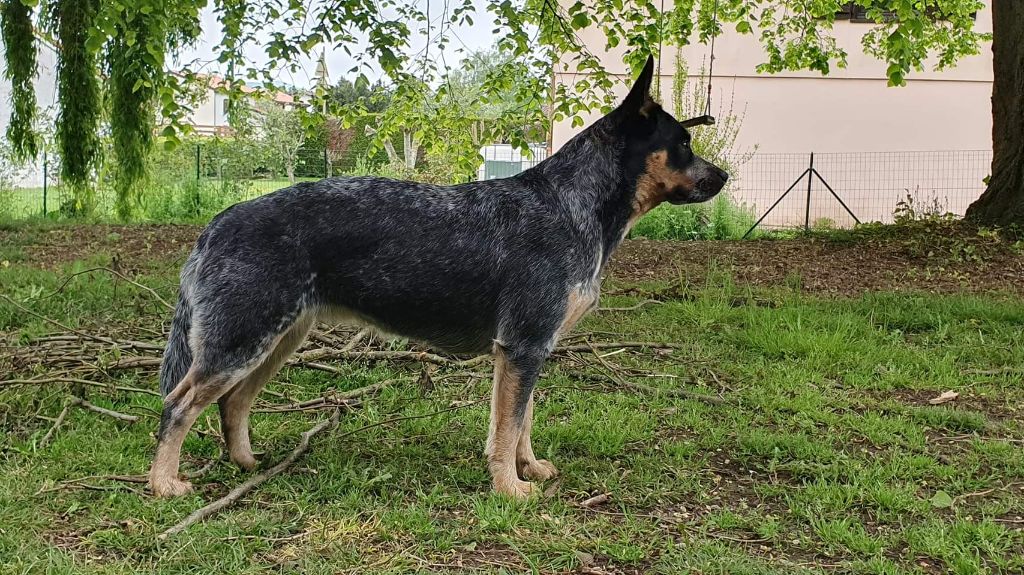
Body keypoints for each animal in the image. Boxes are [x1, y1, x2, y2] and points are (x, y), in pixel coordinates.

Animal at [149, 55, 728, 498]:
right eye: (682, 143)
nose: (723, 176)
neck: (571, 205)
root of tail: (217, 223)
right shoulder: (523, 347)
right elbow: (506, 431)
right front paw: (510, 490)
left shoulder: (531, 350)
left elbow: (522, 423)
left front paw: (529, 469)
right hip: (241, 343)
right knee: (178, 405)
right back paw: (163, 484)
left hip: (276, 340)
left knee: (233, 402)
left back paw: (246, 465)